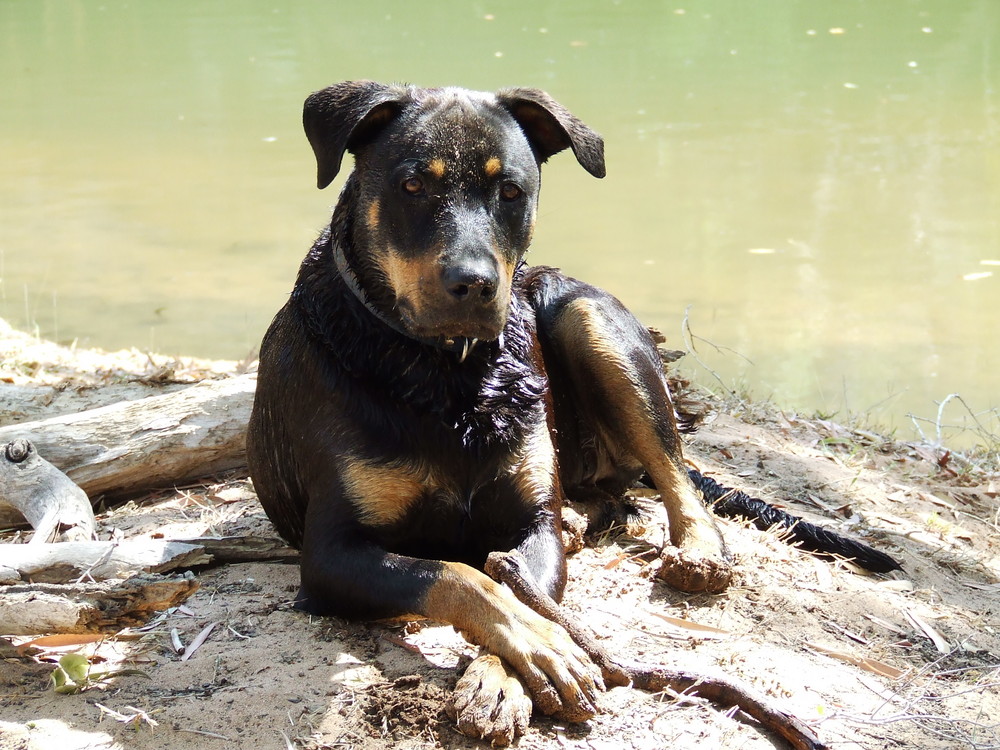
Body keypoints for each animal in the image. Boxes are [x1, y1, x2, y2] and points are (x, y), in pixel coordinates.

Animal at [248, 83, 900, 748]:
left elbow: (517, 585)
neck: (446, 373)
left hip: (588, 319)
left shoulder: (529, 525)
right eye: (412, 186)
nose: (474, 284)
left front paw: (504, 678)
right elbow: (462, 578)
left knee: (672, 472)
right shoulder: (331, 553)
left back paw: (694, 549)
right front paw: (541, 648)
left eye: (511, 191)